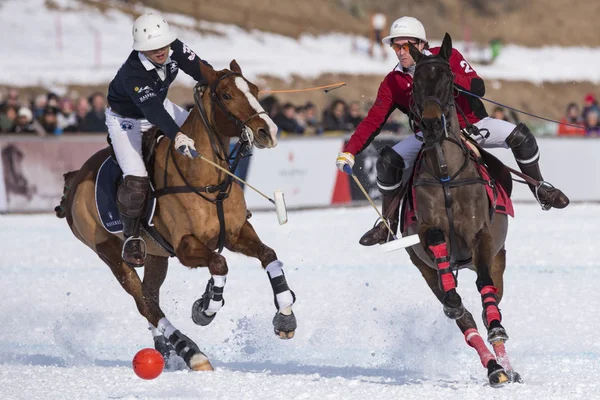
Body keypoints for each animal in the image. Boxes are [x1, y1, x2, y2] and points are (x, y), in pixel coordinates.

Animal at [57, 59, 296, 372]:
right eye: (227, 95)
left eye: (255, 89)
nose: (268, 132)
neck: (208, 177)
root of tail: (74, 179)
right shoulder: (185, 246)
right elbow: (219, 263)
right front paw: (205, 308)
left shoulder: (235, 232)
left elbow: (269, 255)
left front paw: (285, 316)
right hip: (108, 251)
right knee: (145, 303)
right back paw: (191, 352)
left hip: (156, 255)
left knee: (150, 295)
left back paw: (166, 349)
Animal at [406, 35, 524, 388]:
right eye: (416, 82)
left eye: (448, 80)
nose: (431, 124)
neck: (446, 173)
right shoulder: (427, 232)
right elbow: (439, 251)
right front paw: (454, 301)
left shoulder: (481, 236)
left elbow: (487, 295)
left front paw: (497, 330)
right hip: (423, 268)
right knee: (465, 317)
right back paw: (494, 367)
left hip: (498, 258)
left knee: (489, 305)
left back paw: (504, 364)